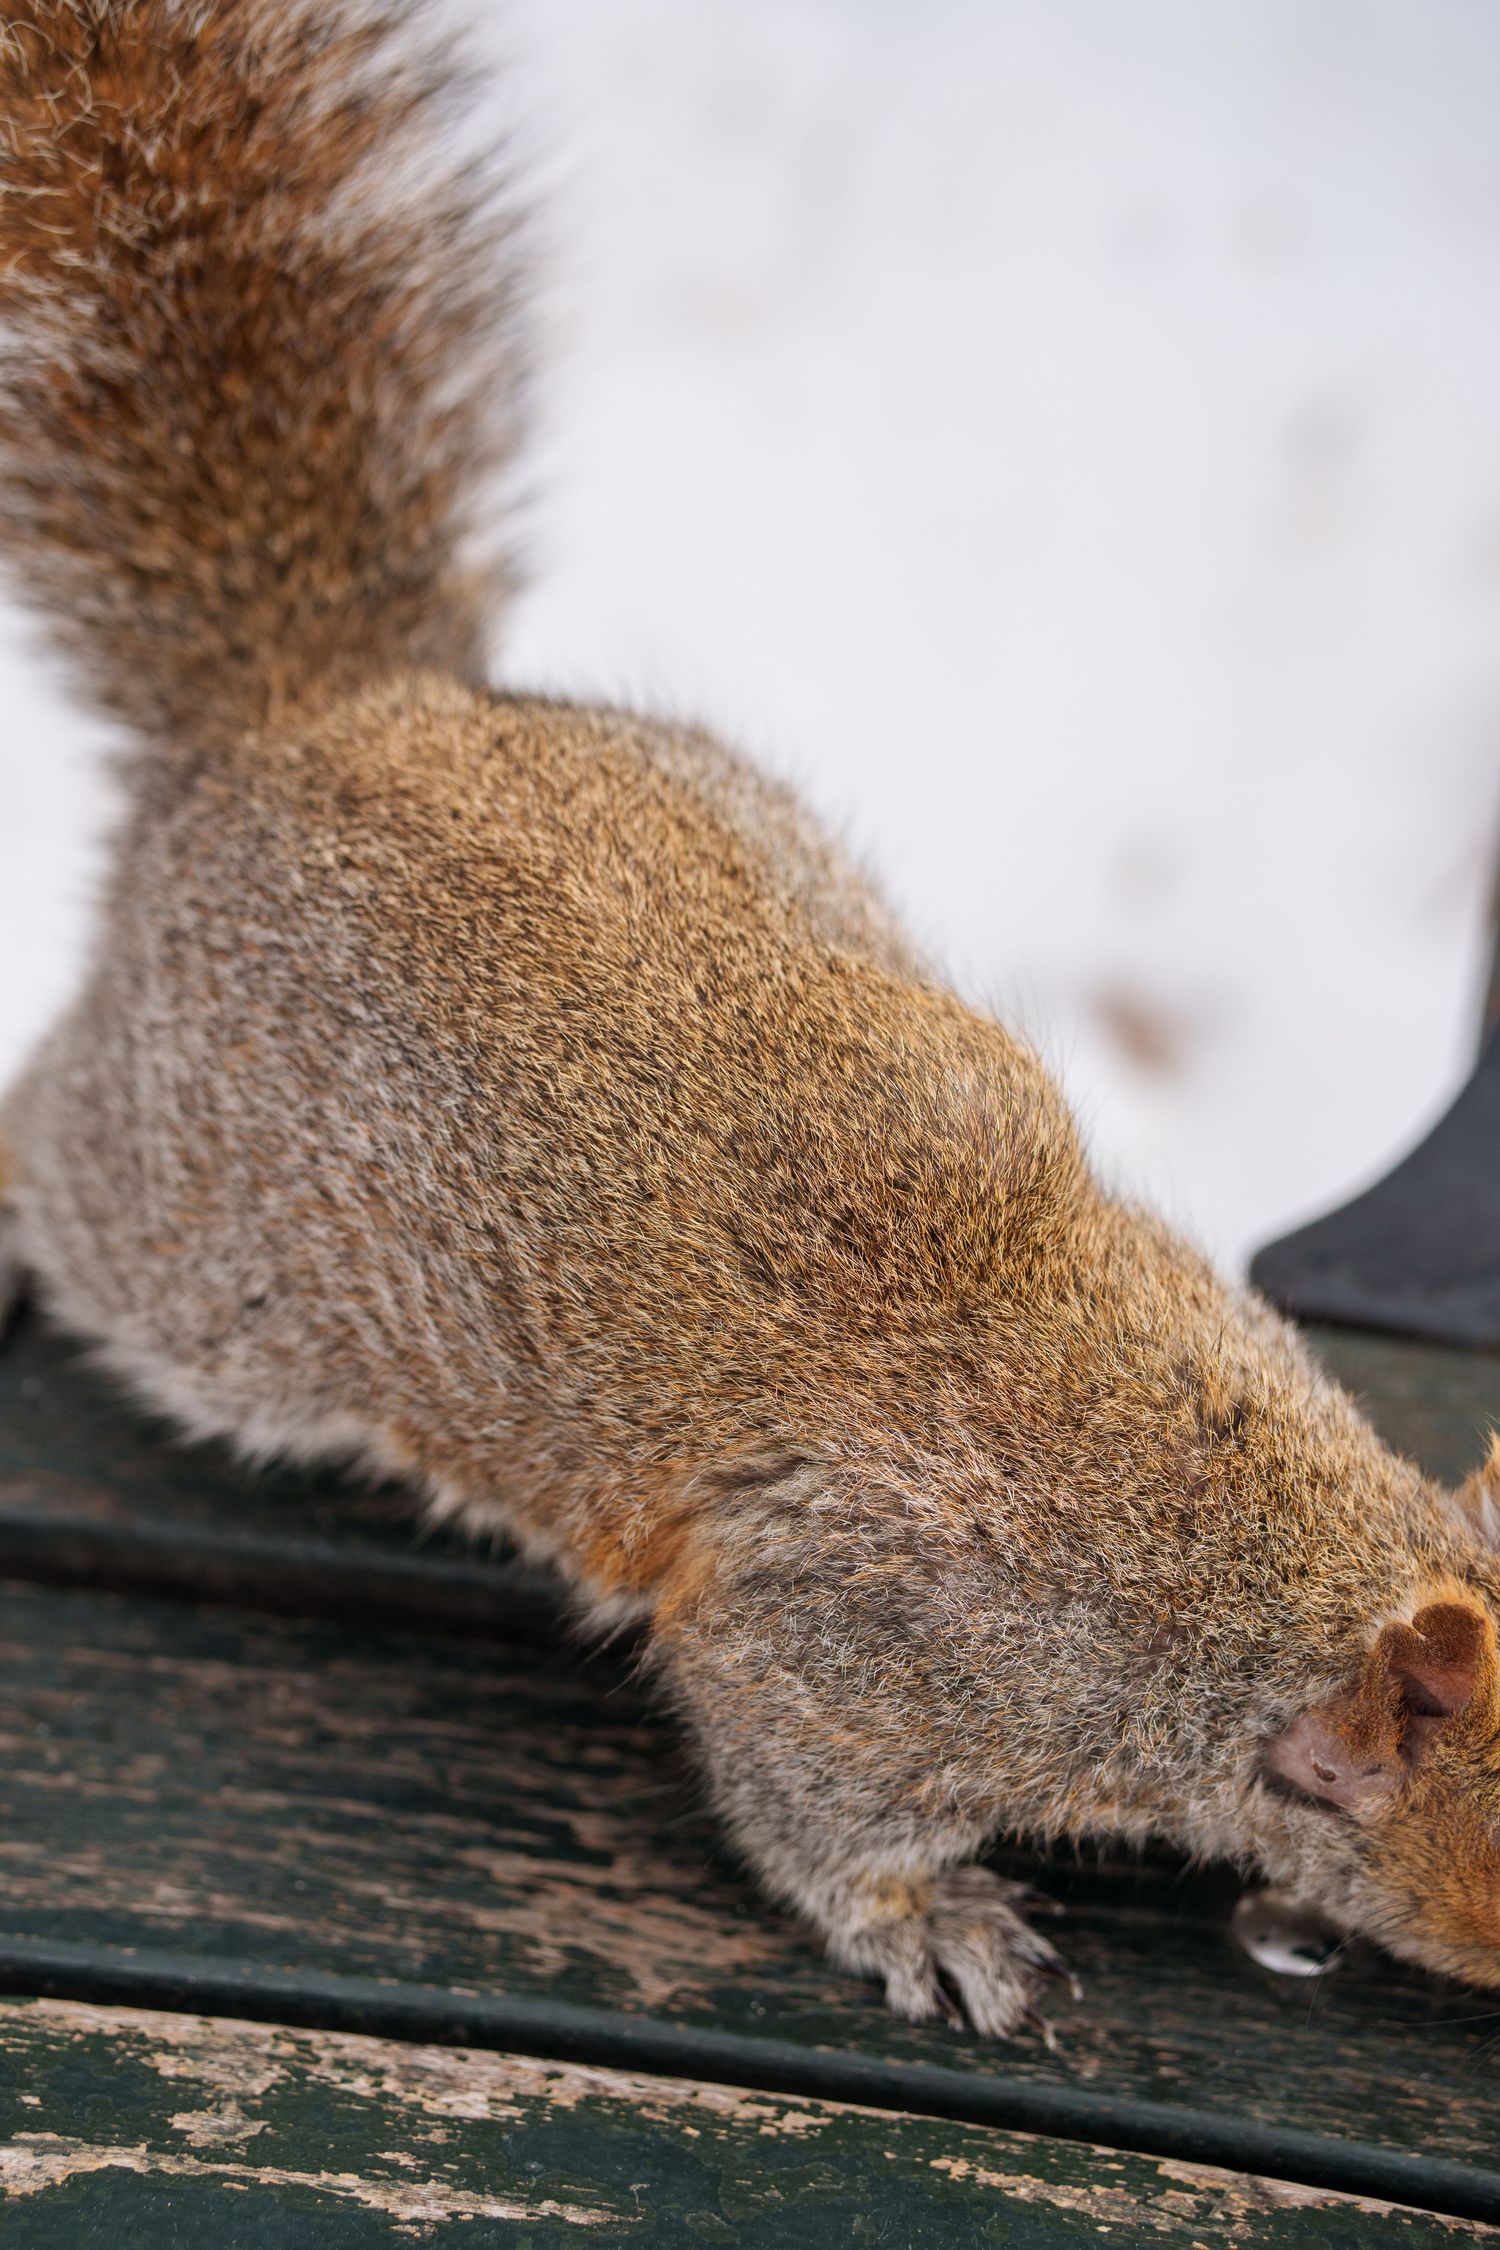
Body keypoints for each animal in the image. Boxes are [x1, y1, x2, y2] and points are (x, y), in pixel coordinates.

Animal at [3, 0, 1500, 2040]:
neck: (1219, 1548)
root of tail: (305, 717)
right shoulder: (852, 1658)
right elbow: (816, 1814)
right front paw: (939, 1929)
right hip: (190, 1250)